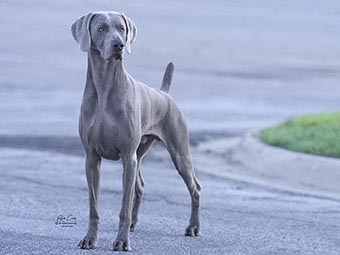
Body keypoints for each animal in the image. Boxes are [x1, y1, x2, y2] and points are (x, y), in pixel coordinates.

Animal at [70, 11, 201, 251]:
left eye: (121, 28)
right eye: (101, 28)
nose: (119, 45)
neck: (104, 86)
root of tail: (164, 93)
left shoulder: (127, 156)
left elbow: (124, 205)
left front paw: (121, 242)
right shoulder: (91, 158)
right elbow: (94, 204)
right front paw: (89, 239)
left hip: (178, 152)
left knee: (194, 187)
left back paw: (193, 228)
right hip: (141, 152)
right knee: (139, 187)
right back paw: (133, 225)